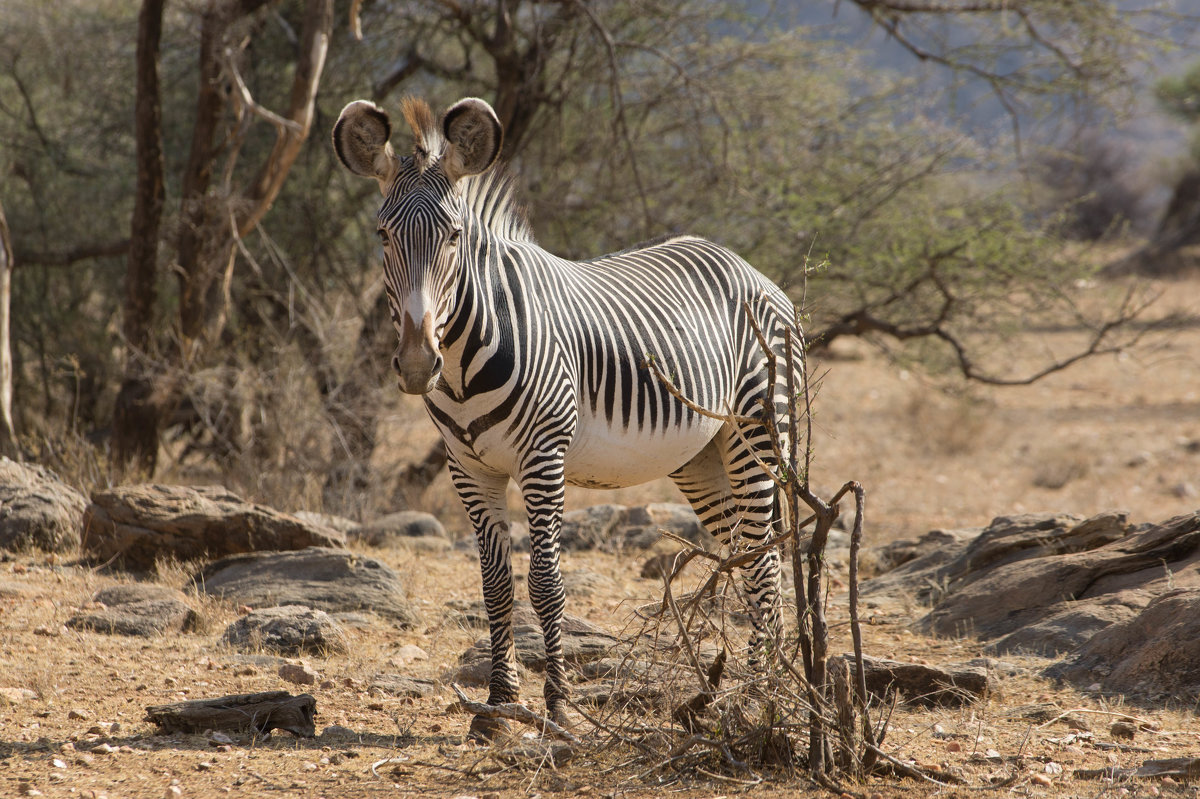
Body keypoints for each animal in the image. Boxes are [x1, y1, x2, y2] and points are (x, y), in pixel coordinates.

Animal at [333, 96, 806, 739]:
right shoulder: (468, 468)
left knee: (764, 559)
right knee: (748, 555)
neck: (462, 361)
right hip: (699, 459)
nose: (414, 363)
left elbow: (545, 582)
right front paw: (497, 708)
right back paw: (740, 691)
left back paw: (760, 697)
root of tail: (744, 265)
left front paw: (557, 707)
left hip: (756, 429)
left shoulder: (543, 459)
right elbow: (496, 586)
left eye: (454, 236)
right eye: (382, 235)